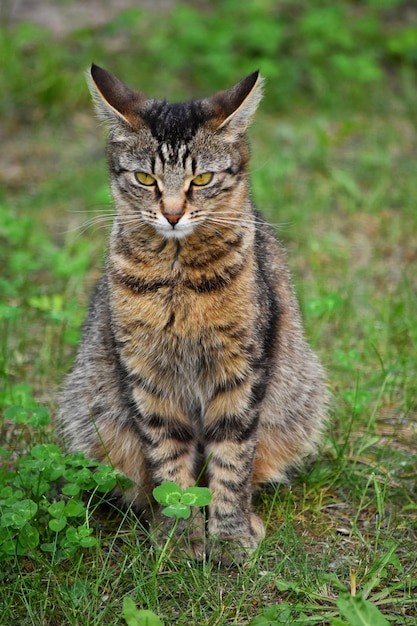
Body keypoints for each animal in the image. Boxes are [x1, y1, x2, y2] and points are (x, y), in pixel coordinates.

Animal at [57, 64, 326, 560]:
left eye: (200, 181)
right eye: (145, 179)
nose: (172, 214)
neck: (178, 280)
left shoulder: (242, 367)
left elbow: (233, 458)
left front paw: (230, 534)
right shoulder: (145, 374)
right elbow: (167, 460)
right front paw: (179, 537)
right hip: (93, 410)